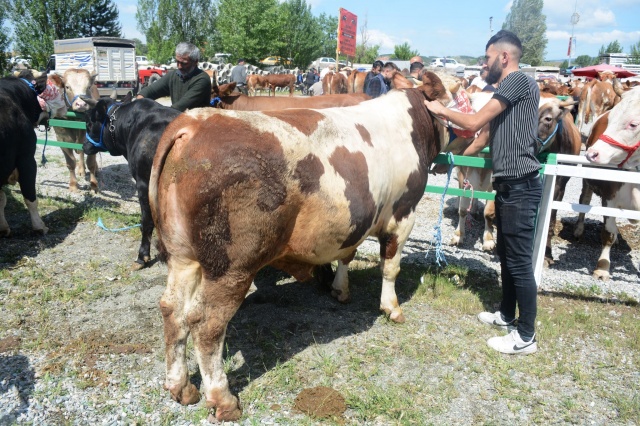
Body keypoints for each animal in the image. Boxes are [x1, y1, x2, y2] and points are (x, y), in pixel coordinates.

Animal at [148, 72, 452, 420]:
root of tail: (195, 122)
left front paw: (340, 289)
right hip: (232, 265)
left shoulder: (354, 220)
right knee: (207, 323)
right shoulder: (403, 214)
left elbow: (347, 254)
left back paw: (181, 387)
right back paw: (223, 400)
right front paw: (392, 308)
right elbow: (391, 266)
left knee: (173, 310)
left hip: (182, 255)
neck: (407, 125)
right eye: (457, 95)